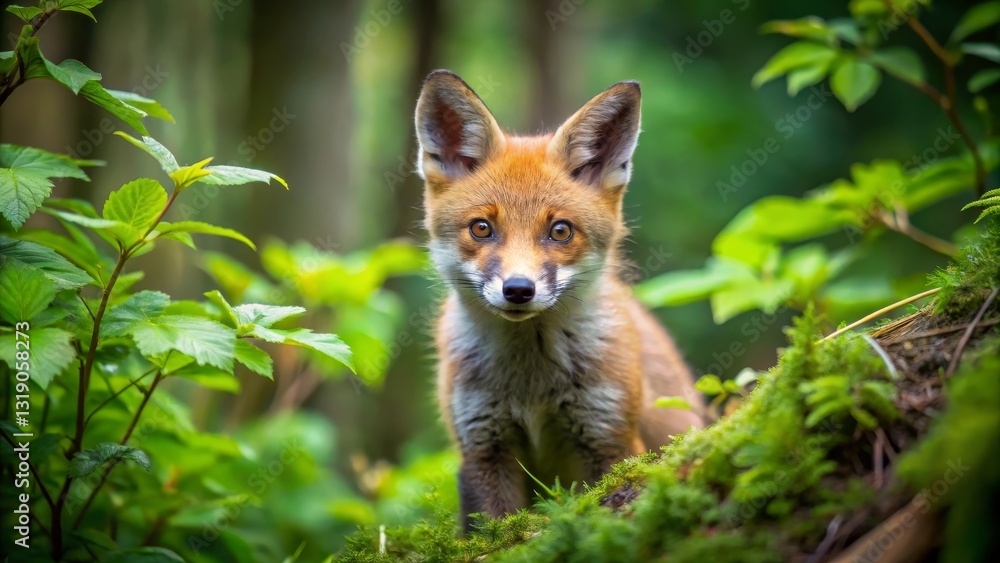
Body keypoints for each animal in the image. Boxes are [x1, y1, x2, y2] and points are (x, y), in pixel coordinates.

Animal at [414, 69, 707, 531]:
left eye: (560, 231)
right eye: (481, 228)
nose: (518, 289)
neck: (531, 386)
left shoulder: (610, 439)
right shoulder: (482, 445)